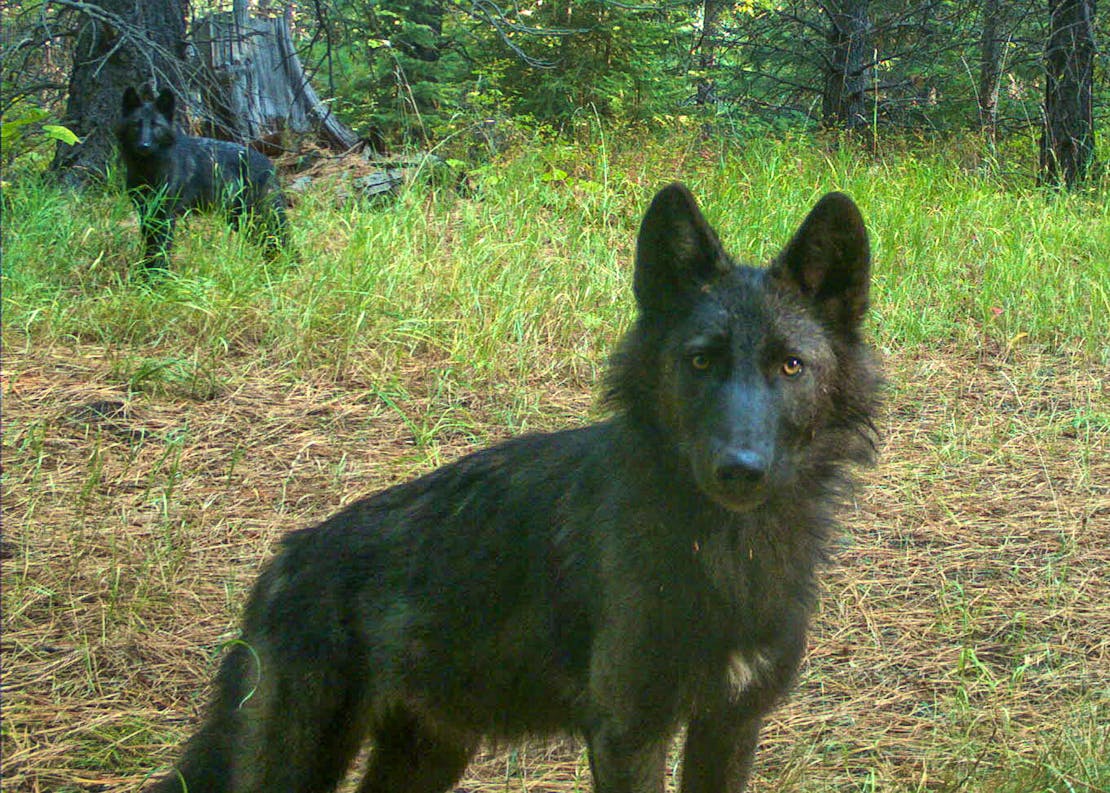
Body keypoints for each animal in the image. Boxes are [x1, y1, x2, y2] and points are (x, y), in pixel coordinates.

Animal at [116, 87, 289, 271]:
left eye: (156, 125)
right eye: (136, 124)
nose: (144, 146)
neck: (148, 169)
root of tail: (269, 164)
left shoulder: (166, 216)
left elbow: (160, 248)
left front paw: (157, 274)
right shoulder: (146, 213)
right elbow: (150, 248)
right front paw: (145, 273)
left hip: (258, 216)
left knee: (282, 240)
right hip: (240, 219)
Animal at [147, 183, 881, 792]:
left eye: (790, 365)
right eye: (701, 361)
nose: (740, 468)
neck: (730, 554)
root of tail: (285, 555)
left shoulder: (730, 727)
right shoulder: (628, 735)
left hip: (429, 756)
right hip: (302, 763)